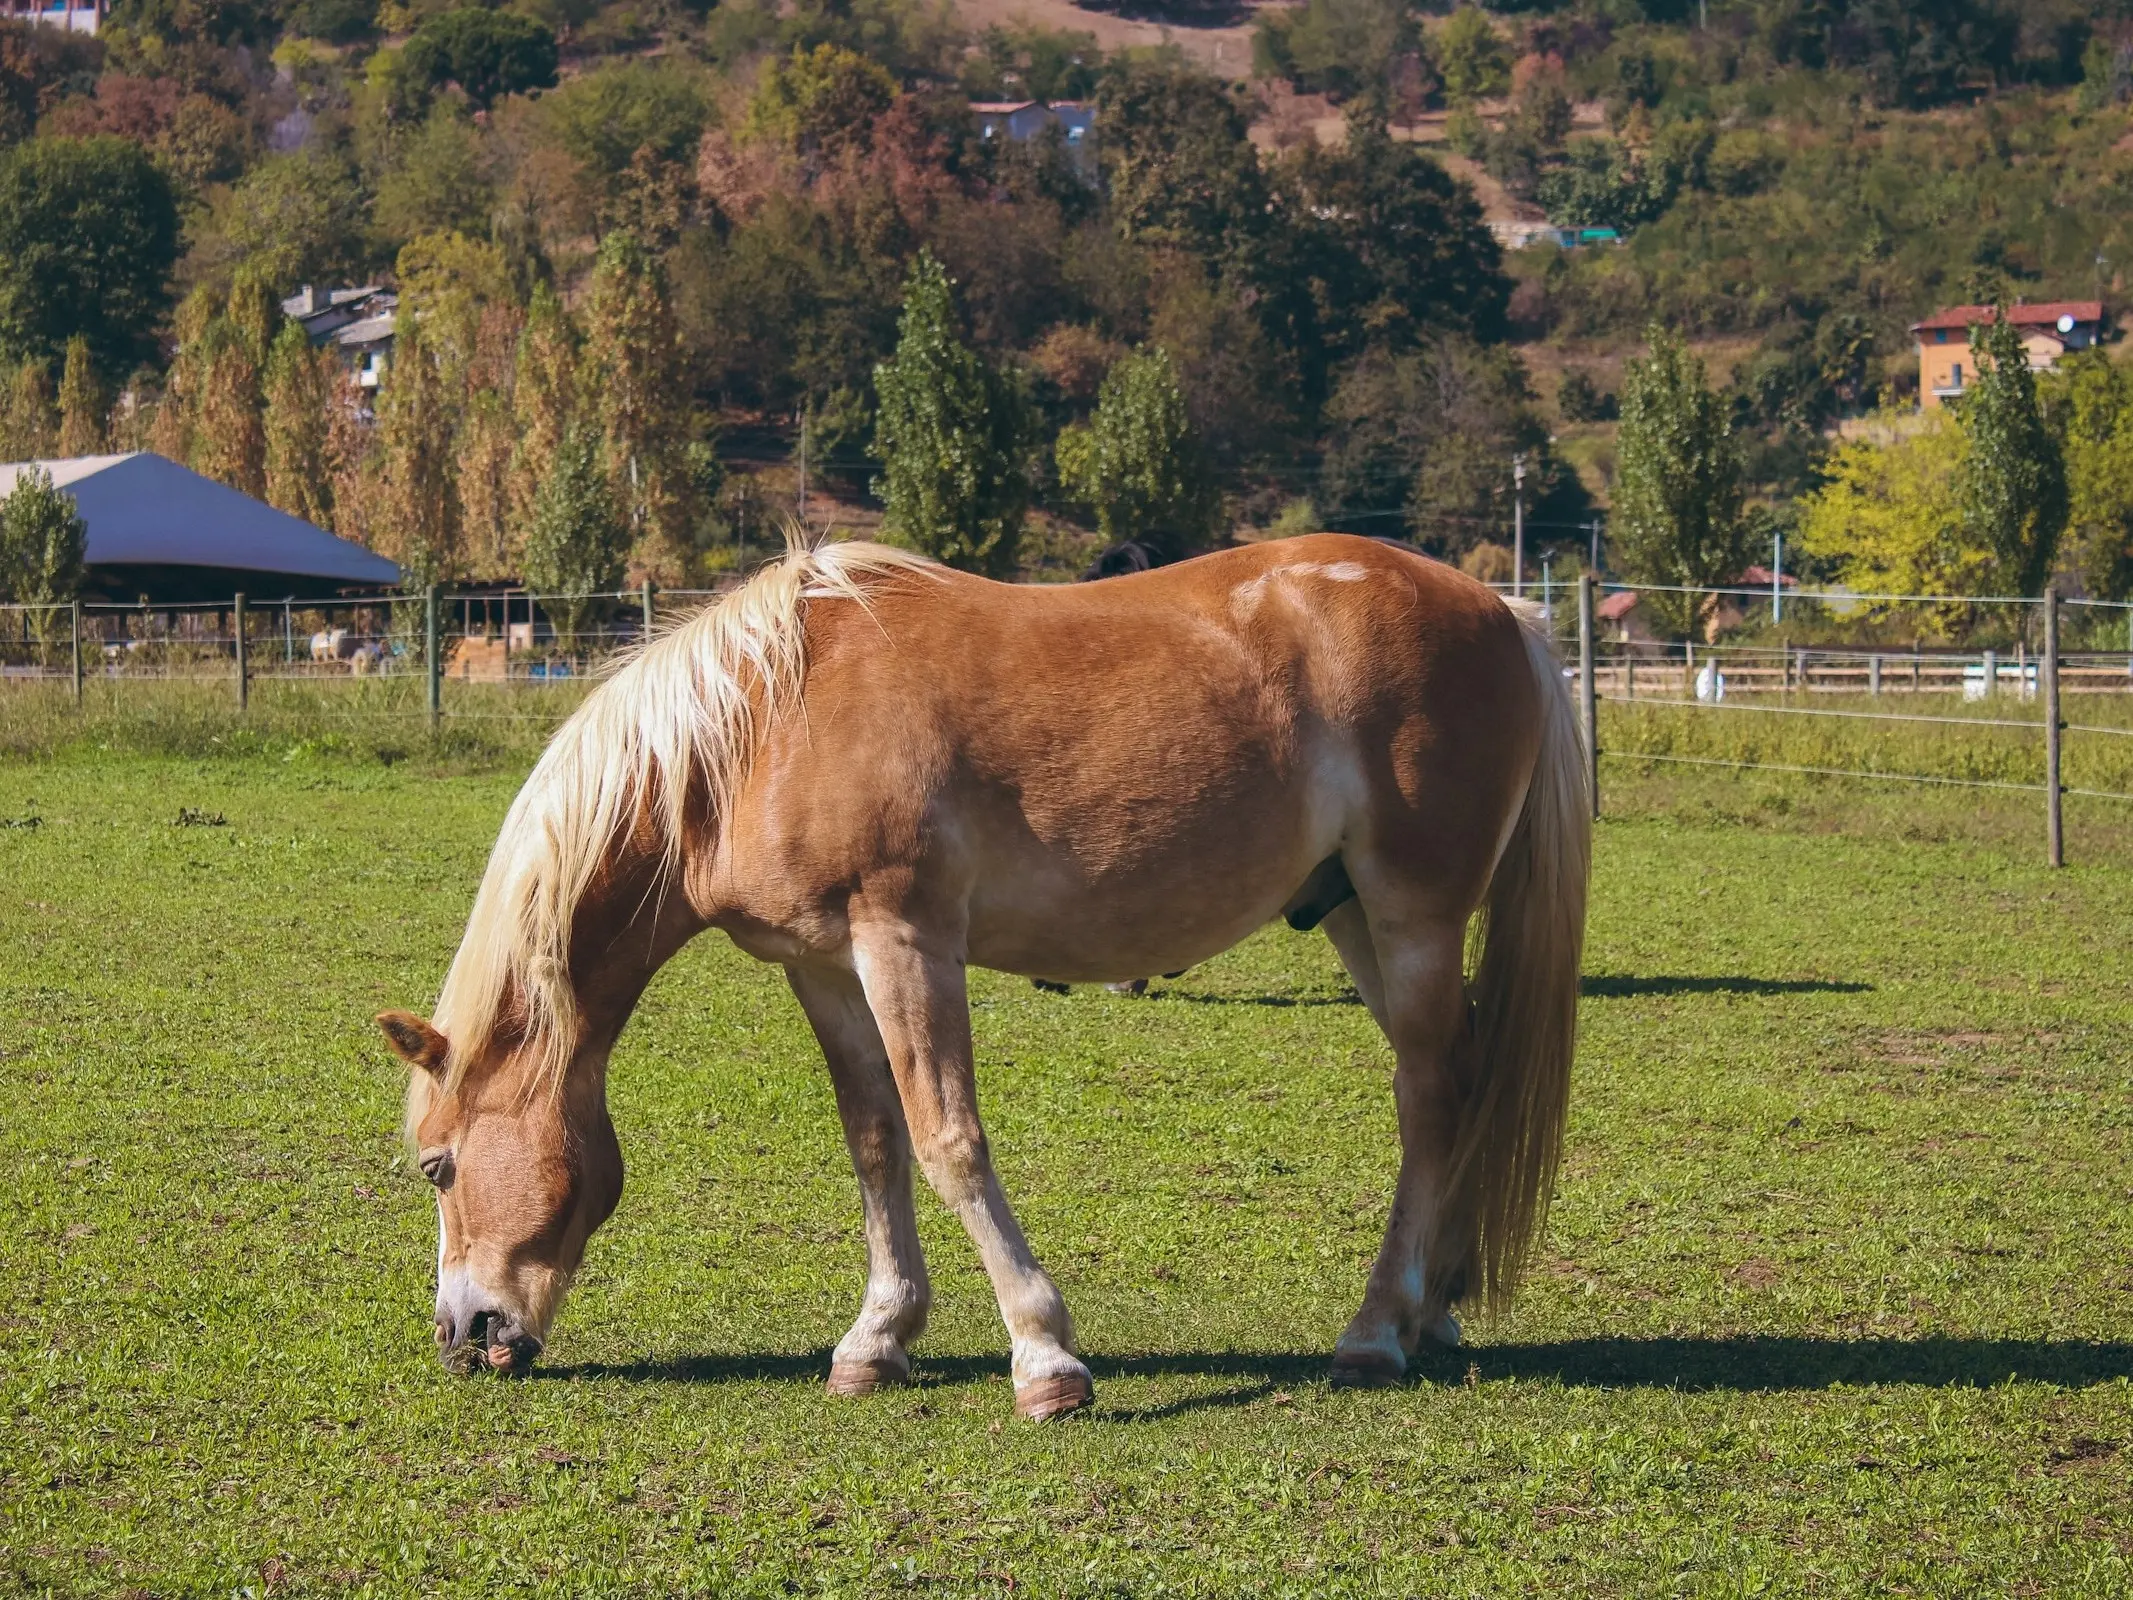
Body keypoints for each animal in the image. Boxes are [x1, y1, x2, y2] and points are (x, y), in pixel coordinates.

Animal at [379, 533, 1586, 1425]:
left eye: (439, 1167)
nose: (462, 1335)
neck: (760, 731)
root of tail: (1506, 614)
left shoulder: (905, 936)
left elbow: (947, 1137)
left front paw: (1044, 1357)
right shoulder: (824, 965)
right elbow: (875, 1141)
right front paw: (876, 1340)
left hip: (1412, 914)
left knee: (1428, 1095)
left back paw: (1378, 1330)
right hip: (1350, 916)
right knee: (1457, 1080)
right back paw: (1435, 1307)